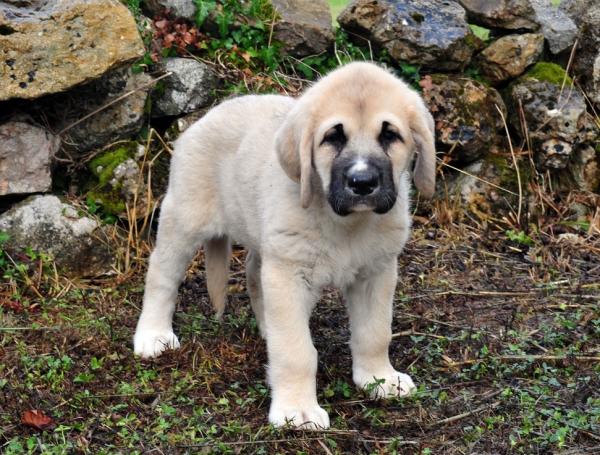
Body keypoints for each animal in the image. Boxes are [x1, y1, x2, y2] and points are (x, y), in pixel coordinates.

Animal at [132, 62, 436, 430]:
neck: (345, 224)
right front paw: (297, 409)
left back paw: (266, 328)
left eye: (390, 135)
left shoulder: (376, 273)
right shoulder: (288, 275)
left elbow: (375, 332)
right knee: (162, 274)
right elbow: (296, 350)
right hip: (185, 219)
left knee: (253, 274)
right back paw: (153, 334)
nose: (362, 183)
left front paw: (379, 378)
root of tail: (206, 117)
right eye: (333, 137)